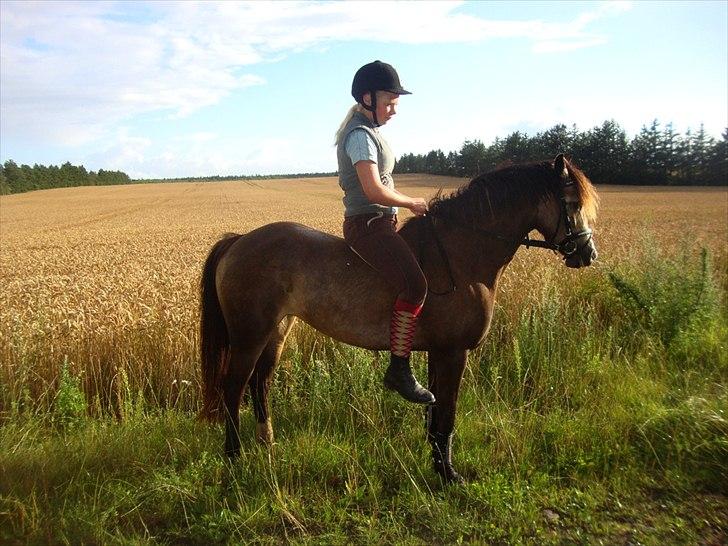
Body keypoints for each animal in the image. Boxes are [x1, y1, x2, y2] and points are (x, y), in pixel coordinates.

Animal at [199, 153, 599, 483]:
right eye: (573, 203)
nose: (588, 253)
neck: (462, 255)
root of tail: (239, 240)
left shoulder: (439, 352)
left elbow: (436, 416)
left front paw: (438, 466)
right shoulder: (454, 352)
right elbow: (447, 414)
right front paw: (449, 476)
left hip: (277, 331)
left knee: (259, 383)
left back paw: (266, 444)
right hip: (249, 334)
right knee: (234, 386)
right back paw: (234, 457)